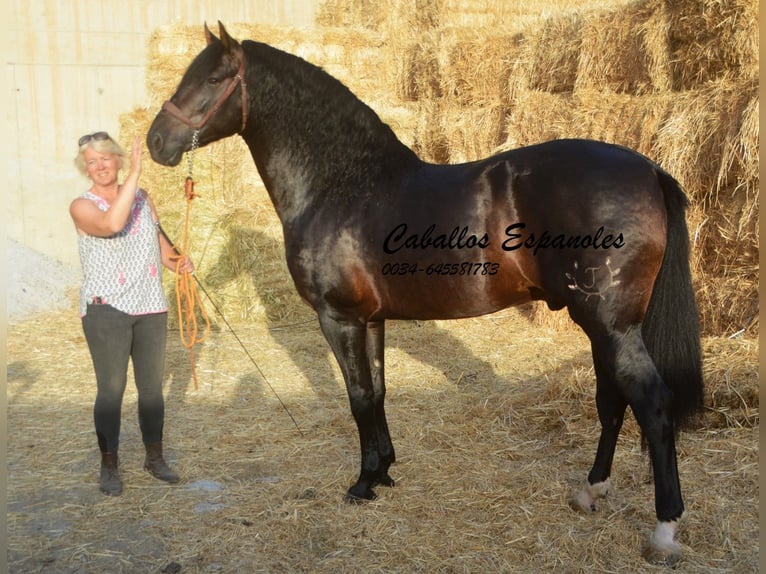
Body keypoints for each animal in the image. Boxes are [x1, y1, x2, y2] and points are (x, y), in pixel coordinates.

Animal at [147, 22, 704, 568]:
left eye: (213, 78)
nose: (155, 141)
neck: (342, 184)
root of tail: (649, 170)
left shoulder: (339, 318)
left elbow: (357, 397)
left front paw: (362, 484)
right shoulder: (371, 319)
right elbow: (377, 393)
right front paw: (384, 471)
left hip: (610, 326)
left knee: (651, 404)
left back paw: (664, 529)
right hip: (602, 325)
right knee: (612, 400)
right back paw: (591, 491)